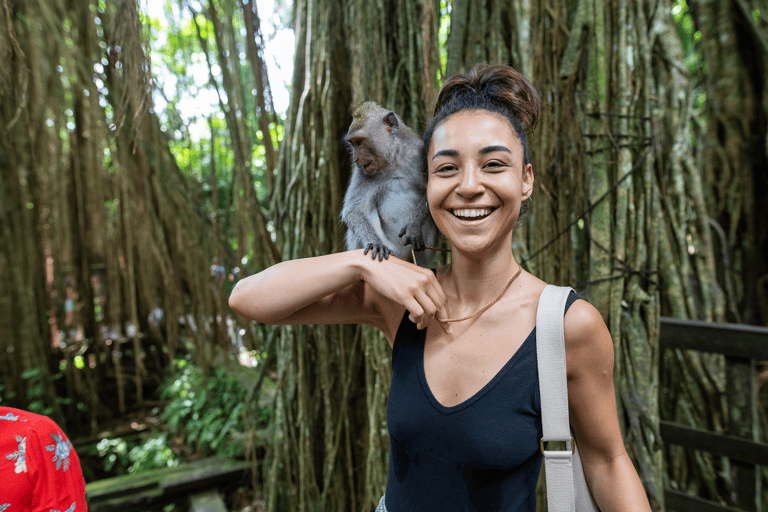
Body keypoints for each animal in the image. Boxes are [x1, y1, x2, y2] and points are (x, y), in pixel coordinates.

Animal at [340, 102, 436, 266]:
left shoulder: (419, 154)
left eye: (359, 142)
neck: (392, 161)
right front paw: (375, 244)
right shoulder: (361, 173)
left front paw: (414, 225)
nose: (355, 159)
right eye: (352, 144)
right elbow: (354, 211)